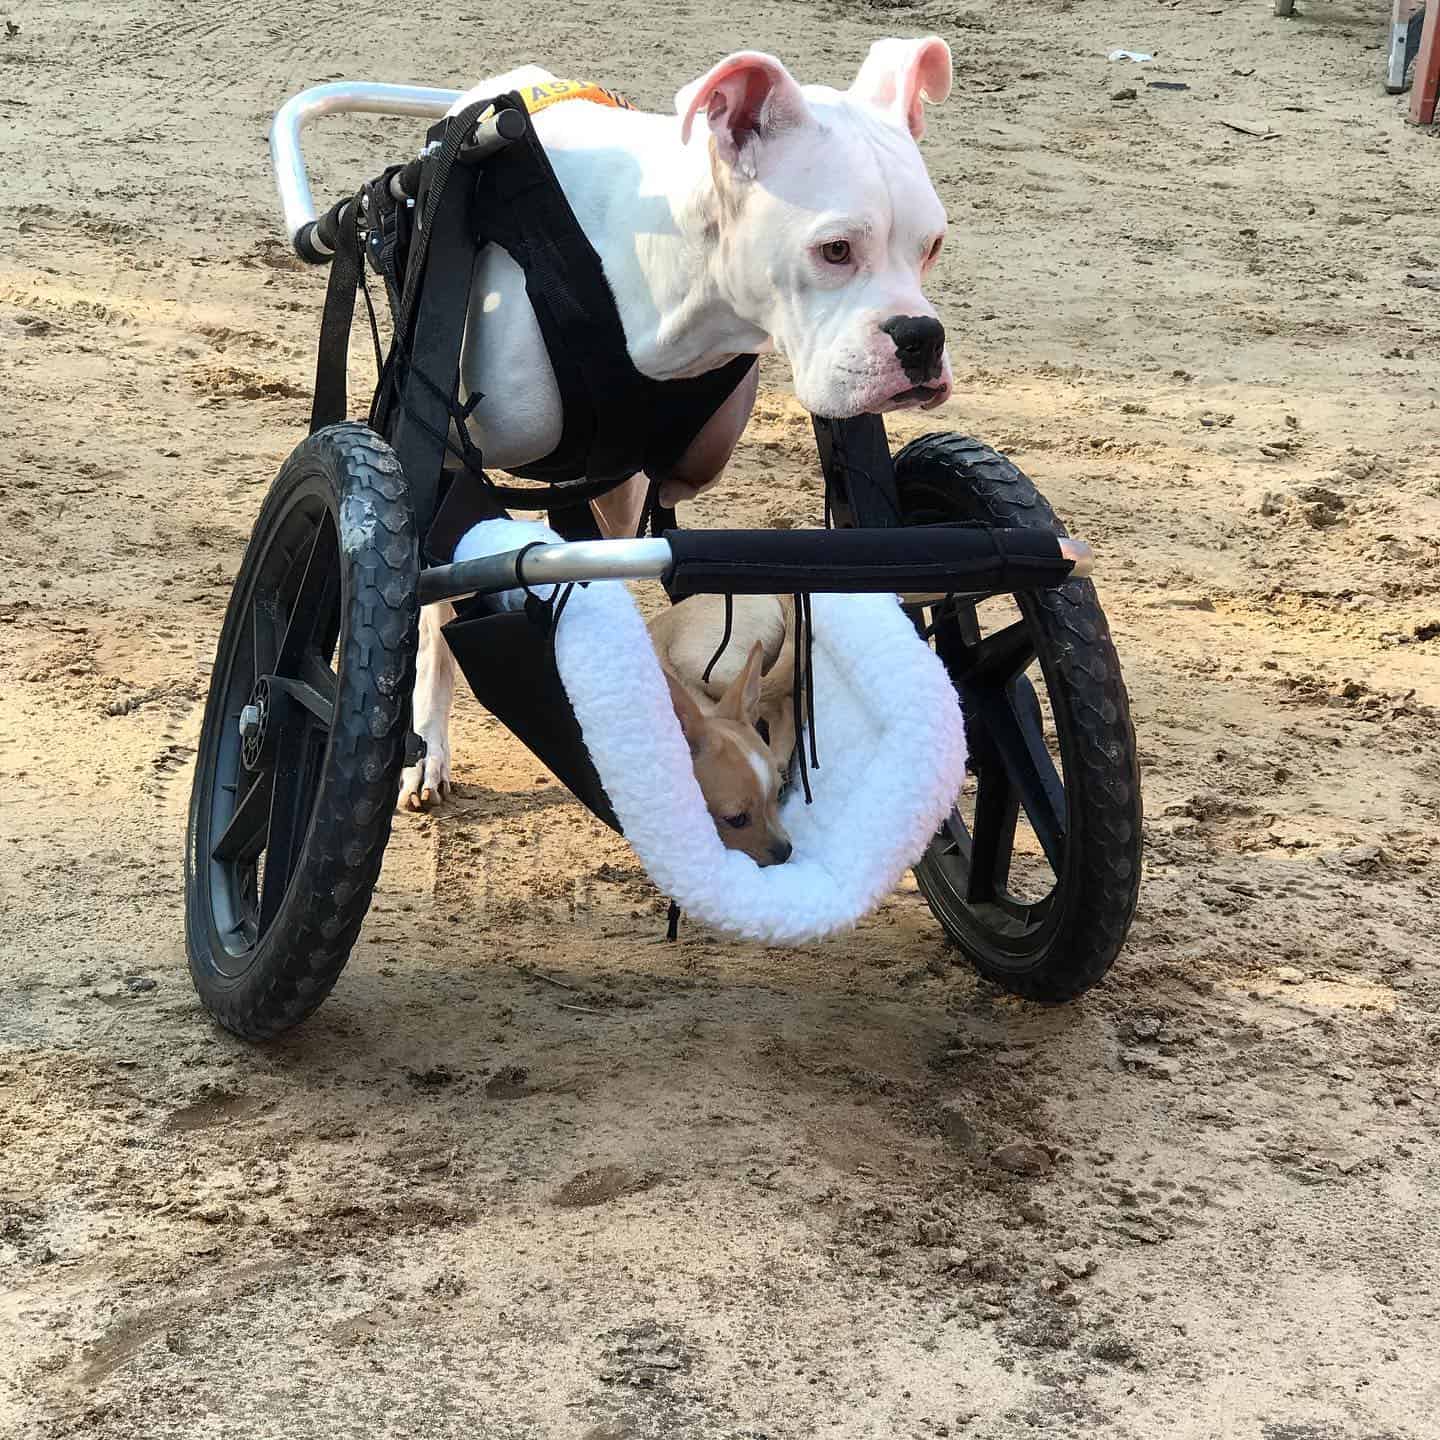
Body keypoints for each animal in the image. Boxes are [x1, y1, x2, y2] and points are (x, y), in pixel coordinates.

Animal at [400, 39, 956, 812]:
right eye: (835, 250)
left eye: (931, 246)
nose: (921, 337)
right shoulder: (452, 455)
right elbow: (435, 592)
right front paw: (426, 736)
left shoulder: (660, 473)